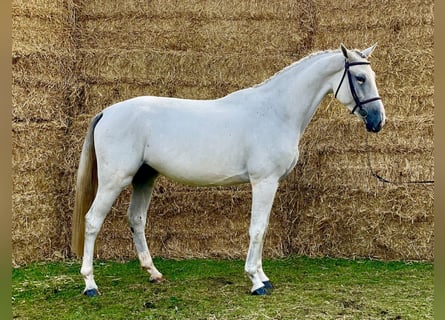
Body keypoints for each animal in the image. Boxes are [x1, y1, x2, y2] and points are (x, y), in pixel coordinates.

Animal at [71, 43, 384, 296]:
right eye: (360, 78)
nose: (378, 121)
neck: (275, 112)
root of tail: (107, 112)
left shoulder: (270, 184)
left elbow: (263, 228)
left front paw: (263, 277)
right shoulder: (264, 181)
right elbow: (257, 228)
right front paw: (256, 281)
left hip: (144, 177)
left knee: (136, 219)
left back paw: (154, 273)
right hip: (114, 181)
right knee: (92, 221)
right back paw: (90, 284)